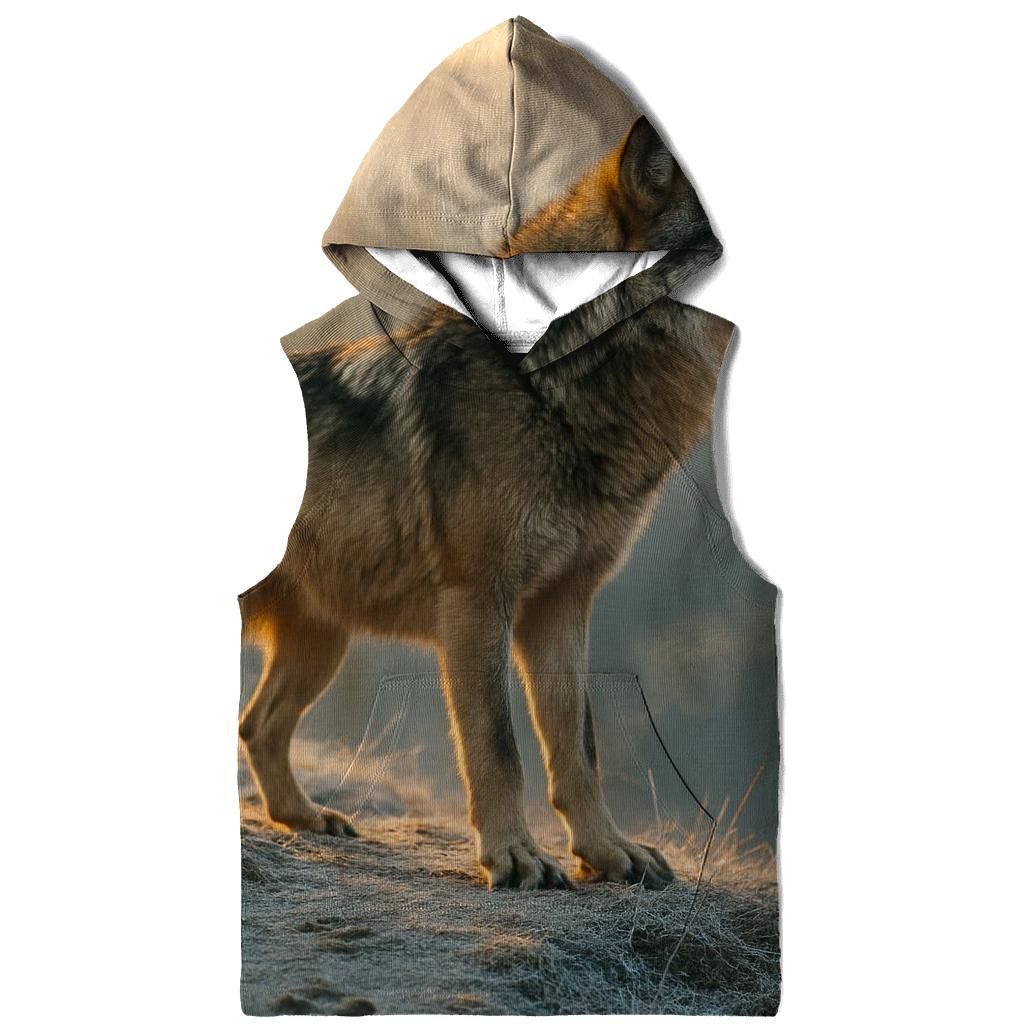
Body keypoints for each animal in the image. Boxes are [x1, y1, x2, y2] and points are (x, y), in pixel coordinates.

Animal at [239, 117, 731, 890]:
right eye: (713, 256)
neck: (561, 386)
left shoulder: (561, 606)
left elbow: (577, 748)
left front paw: (606, 852)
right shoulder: (478, 602)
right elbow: (498, 748)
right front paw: (515, 857)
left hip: (325, 640)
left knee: (257, 727)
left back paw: (307, 818)